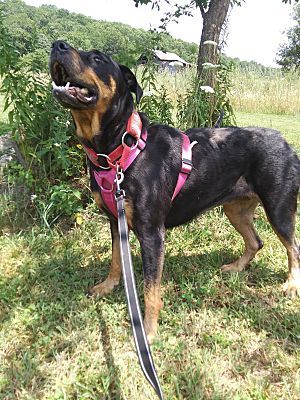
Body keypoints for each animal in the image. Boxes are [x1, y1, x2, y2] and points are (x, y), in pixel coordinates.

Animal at [49, 41, 300, 344]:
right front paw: (108, 286)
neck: (119, 148)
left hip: (279, 208)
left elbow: (150, 288)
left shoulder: (152, 233)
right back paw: (236, 268)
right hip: (235, 209)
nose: (58, 45)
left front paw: (148, 329)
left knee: (293, 248)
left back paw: (291, 284)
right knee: (256, 241)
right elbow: (116, 260)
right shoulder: (115, 221)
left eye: (97, 58)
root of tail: (287, 144)